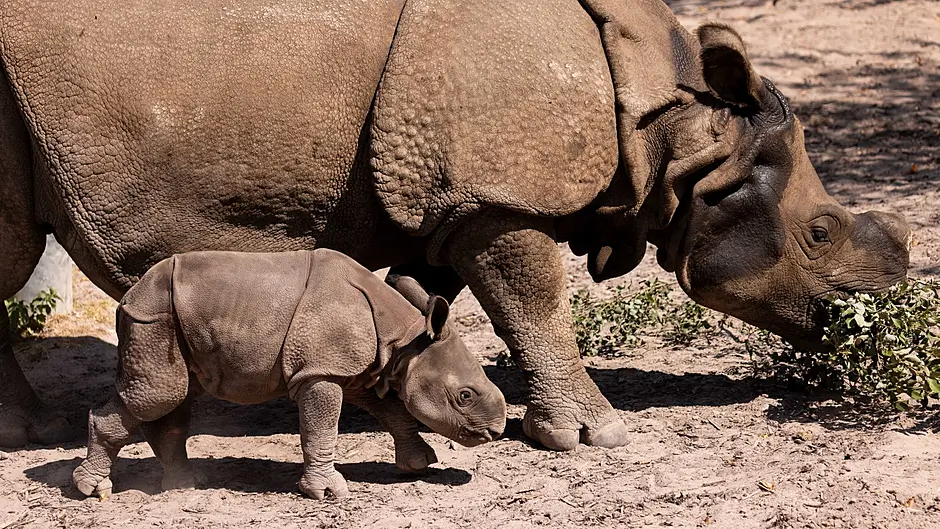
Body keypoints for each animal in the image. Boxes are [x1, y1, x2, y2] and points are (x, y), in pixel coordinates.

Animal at [0, 0, 911, 451]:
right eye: (821, 233)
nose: (874, 316)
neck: (681, 130)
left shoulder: (446, 193)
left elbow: (427, 295)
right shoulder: (493, 192)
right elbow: (536, 300)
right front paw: (595, 434)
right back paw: (30, 431)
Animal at [72, 249, 506, 500]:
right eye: (465, 396)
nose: (496, 431)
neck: (405, 340)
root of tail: (130, 294)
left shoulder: (349, 367)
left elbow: (392, 410)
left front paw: (419, 464)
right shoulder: (321, 371)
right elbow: (322, 428)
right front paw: (328, 492)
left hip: (169, 318)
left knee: (174, 394)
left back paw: (183, 486)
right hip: (152, 318)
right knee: (158, 394)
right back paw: (94, 490)